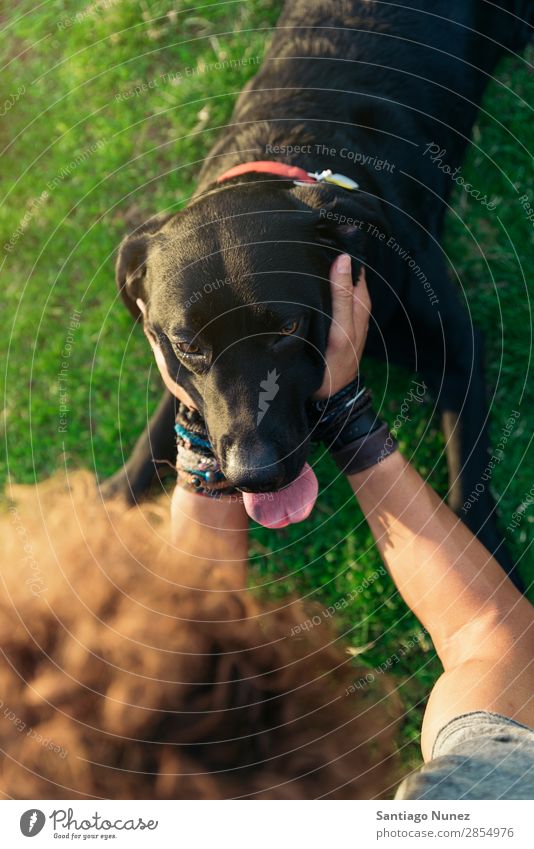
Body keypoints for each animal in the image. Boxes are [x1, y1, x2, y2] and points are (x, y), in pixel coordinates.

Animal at [103, 0, 532, 568]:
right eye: (187, 346)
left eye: (288, 327)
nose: (255, 476)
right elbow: (163, 419)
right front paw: (112, 498)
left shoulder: (458, 344)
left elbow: (470, 479)